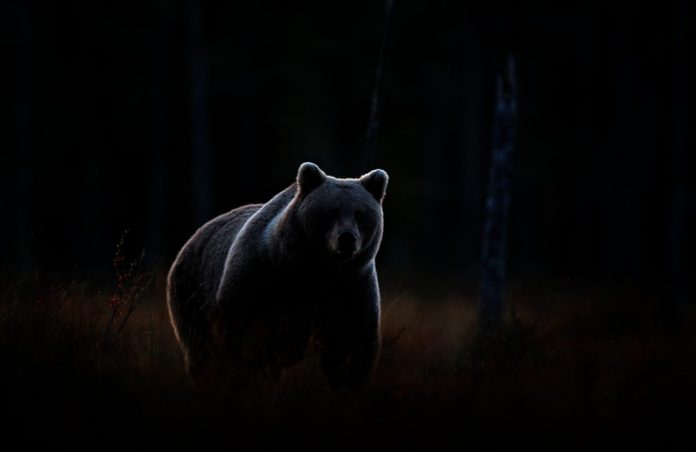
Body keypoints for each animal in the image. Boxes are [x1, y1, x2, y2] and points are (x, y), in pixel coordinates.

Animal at [166, 162, 389, 391]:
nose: (347, 238)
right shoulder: (261, 280)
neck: (318, 270)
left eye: (360, 214)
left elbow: (352, 344)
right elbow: (242, 339)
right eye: (331, 212)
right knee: (201, 352)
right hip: (192, 294)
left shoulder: (352, 289)